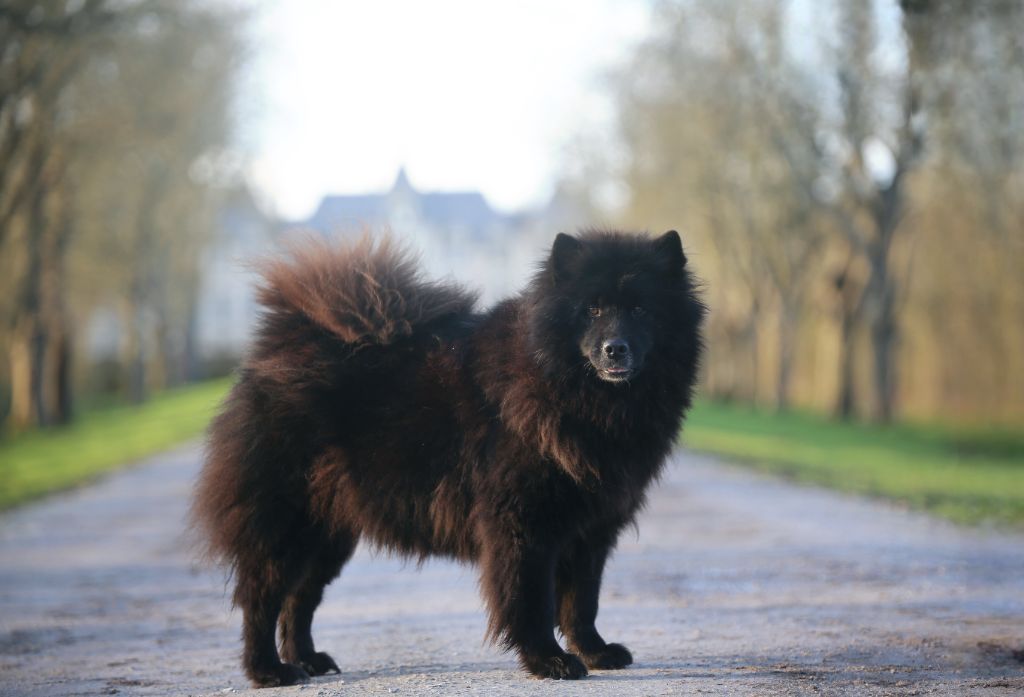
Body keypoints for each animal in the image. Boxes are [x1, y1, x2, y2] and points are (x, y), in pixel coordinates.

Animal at [192, 229, 704, 683]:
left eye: (640, 309)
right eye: (591, 310)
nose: (614, 348)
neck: (576, 395)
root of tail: (280, 346)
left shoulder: (592, 529)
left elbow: (582, 601)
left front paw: (595, 652)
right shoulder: (524, 525)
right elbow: (531, 601)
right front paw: (549, 661)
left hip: (328, 532)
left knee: (299, 601)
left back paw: (308, 661)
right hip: (284, 523)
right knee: (261, 599)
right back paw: (269, 671)